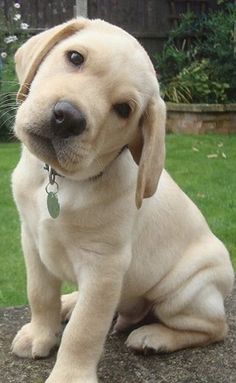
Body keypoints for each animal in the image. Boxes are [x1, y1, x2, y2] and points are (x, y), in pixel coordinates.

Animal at [11, 18, 234, 383]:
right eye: (75, 57)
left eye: (123, 110)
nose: (67, 117)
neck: (63, 182)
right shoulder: (31, 240)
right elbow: (40, 295)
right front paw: (40, 334)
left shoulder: (104, 265)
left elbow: (85, 330)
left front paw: (69, 376)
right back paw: (70, 302)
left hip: (184, 291)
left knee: (215, 328)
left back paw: (154, 337)